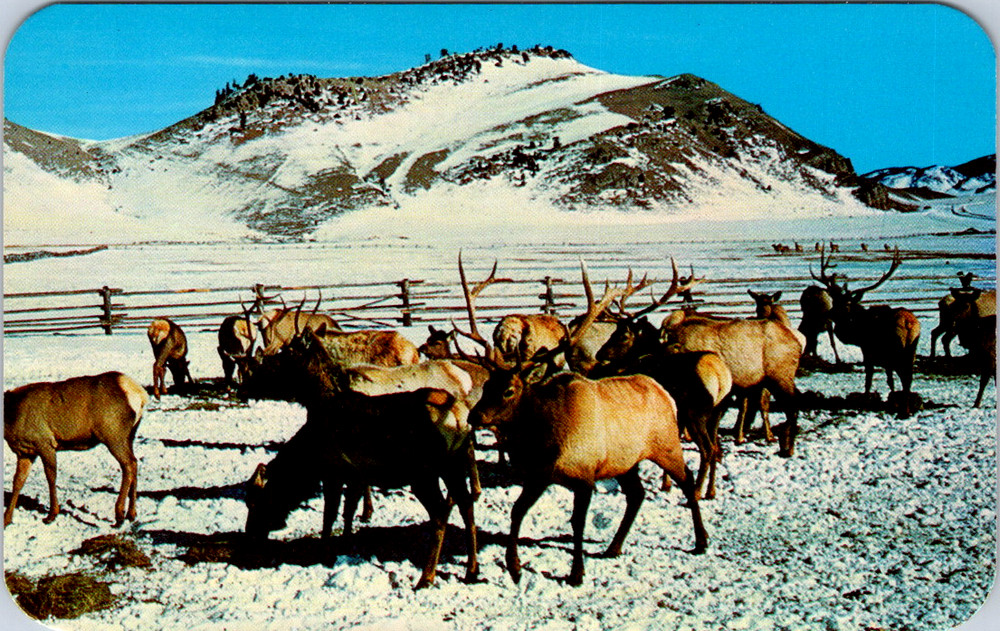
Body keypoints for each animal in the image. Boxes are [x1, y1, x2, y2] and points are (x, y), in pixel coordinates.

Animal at [4, 372, 149, 527]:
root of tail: (140, 395)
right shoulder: (25, 452)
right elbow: (18, 481)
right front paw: (7, 519)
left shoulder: (45, 443)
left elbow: (51, 477)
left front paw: (51, 515)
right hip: (129, 436)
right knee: (134, 463)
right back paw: (131, 514)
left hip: (113, 435)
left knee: (128, 465)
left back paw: (119, 515)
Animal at [461, 256, 708, 586]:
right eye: (487, 385)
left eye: (509, 390)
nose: (474, 416)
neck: (543, 439)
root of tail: (664, 392)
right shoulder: (538, 475)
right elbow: (517, 512)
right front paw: (514, 567)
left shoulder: (585, 476)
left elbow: (578, 522)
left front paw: (576, 572)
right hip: (624, 461)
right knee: (637, 494)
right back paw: (614, 547)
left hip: (666, 445)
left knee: (687, 480)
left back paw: (701, 541)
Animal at [811, 247, 920, 396]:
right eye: (834, 301)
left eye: (846, 305)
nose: (828, 313)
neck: (857, 334)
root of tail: (908, 324)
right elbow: (890, 382)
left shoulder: (869, 352)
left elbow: (869, 381)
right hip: (911, 351)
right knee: (908, 380)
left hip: (896, 350)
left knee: (905, 378)